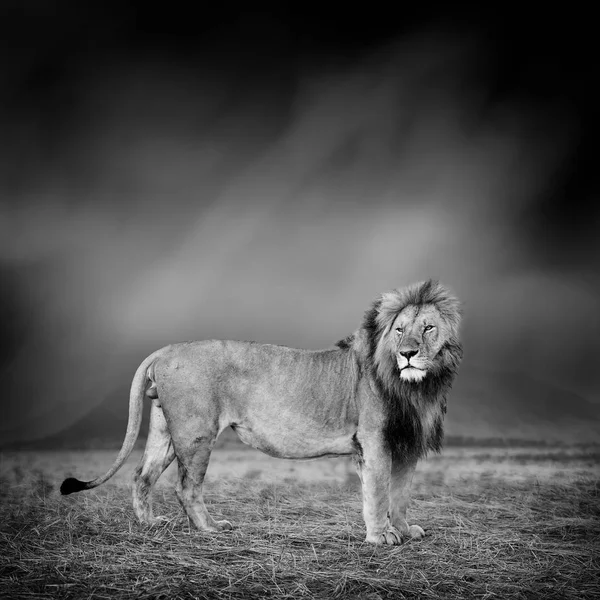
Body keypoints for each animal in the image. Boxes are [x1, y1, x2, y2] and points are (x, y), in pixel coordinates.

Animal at [61, 278, 462, 548]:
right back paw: (210, 528)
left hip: (165, 430)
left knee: (141, 476)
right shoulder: (375, 442)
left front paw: (405, 530)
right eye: (398, 330)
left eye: (427, 327)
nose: (408, 353)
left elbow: (401, 493)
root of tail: (167, 348)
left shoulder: (406, 445)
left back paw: (149, 524)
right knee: (185, 486)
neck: (417, 387)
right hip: (196, 433)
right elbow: (378, 493)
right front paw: (381, 537)